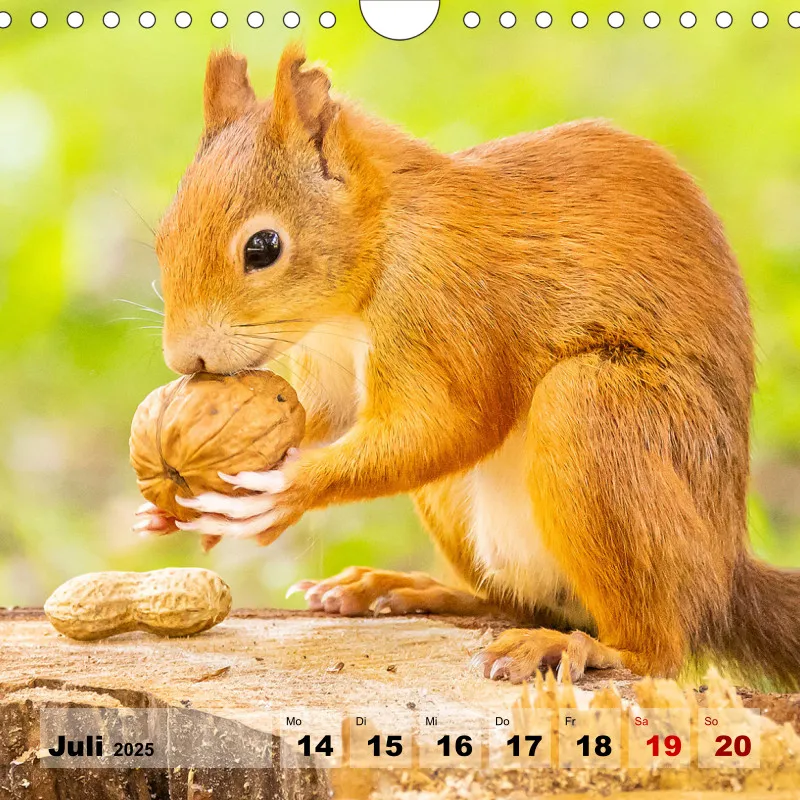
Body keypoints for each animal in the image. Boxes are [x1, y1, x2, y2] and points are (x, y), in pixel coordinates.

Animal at [135, 43, 800, 690]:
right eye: (163, 236)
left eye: (263, 247)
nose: (184, 358)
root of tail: (724, 574)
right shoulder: (327, 354)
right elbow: (323, 415)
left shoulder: (442, 299)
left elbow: (452, 425)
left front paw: (286, 490)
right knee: (514, 601)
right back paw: (403, 588)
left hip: (603, 413)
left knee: (656, 647)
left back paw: (584, 647)